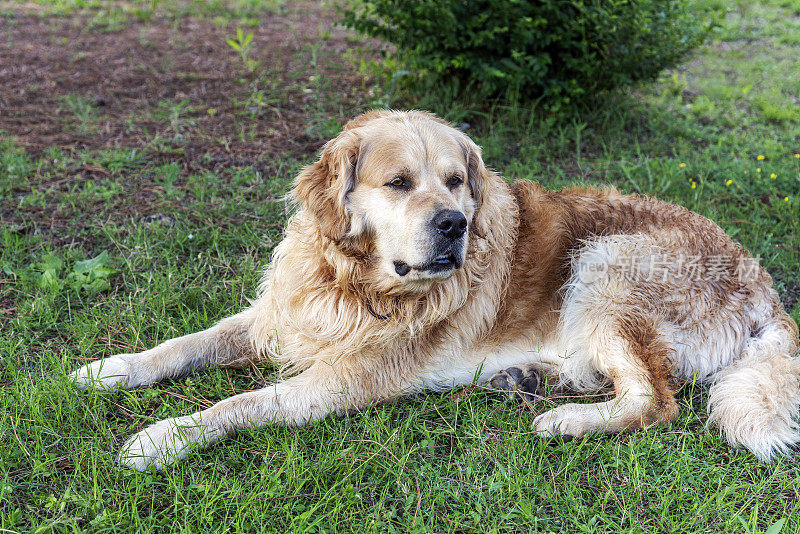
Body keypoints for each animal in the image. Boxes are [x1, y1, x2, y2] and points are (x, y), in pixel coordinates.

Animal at [70, 111, 800, 472]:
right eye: (398, 183)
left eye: (455, 181)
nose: (455, 224)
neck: (352, 280)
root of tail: (763, 282)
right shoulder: (275, 319)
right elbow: (181, 344)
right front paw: (112, 370)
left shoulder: (344, 378)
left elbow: (240, 403)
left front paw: (162, 438)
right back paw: (529, 379)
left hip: (606, 264)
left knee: (655, 399)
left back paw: (564, 419)